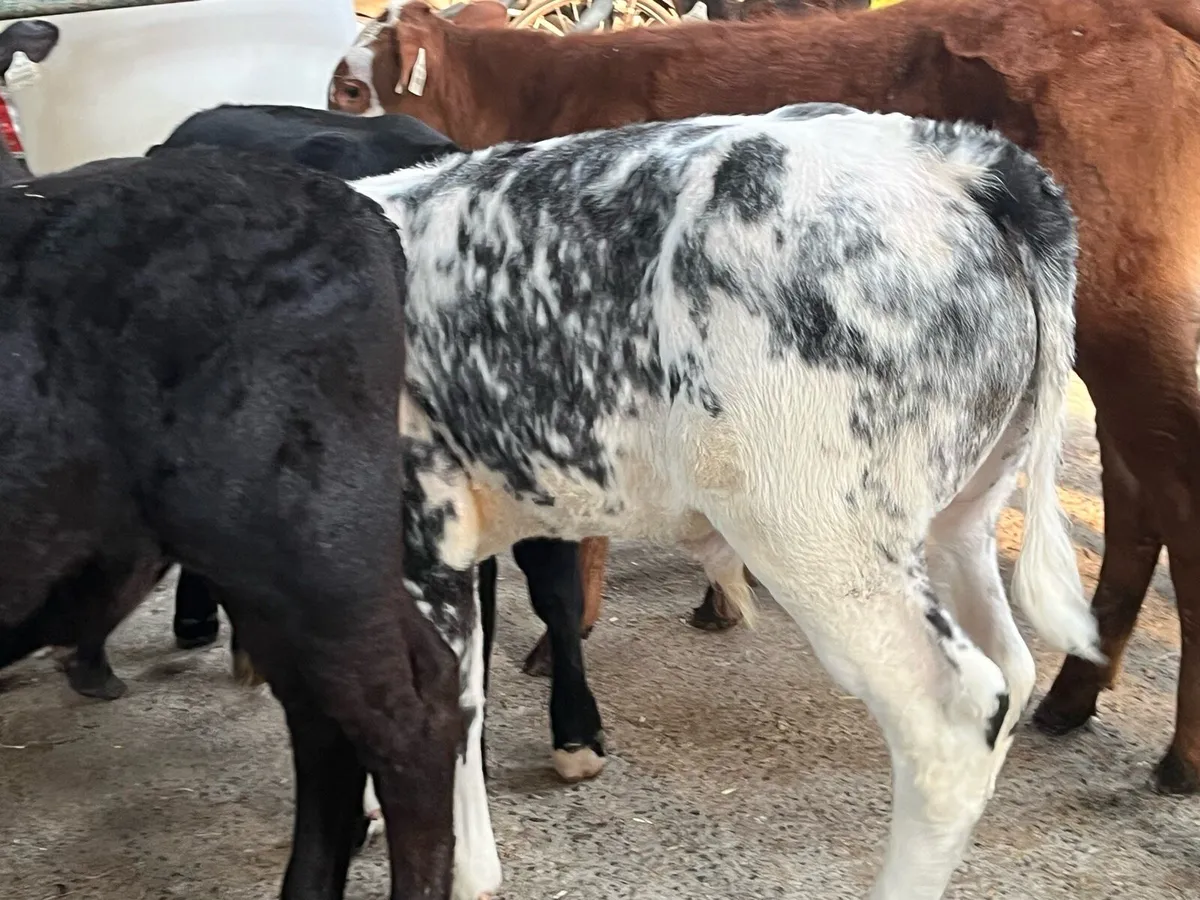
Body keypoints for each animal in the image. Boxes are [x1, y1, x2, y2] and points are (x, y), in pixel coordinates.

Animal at [330, 0, 1200, 795]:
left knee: (1175, 502)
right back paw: (1072, 694)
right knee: (1131, 498)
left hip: (1134, 329)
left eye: (351, 87)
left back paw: (1180, 753)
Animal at [344, 100, 1096, 899]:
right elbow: (463, 699)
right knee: (1011, 663)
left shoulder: (414, 539)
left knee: (951, 717)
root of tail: (957, 158)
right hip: (960, 514)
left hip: (820, 538)